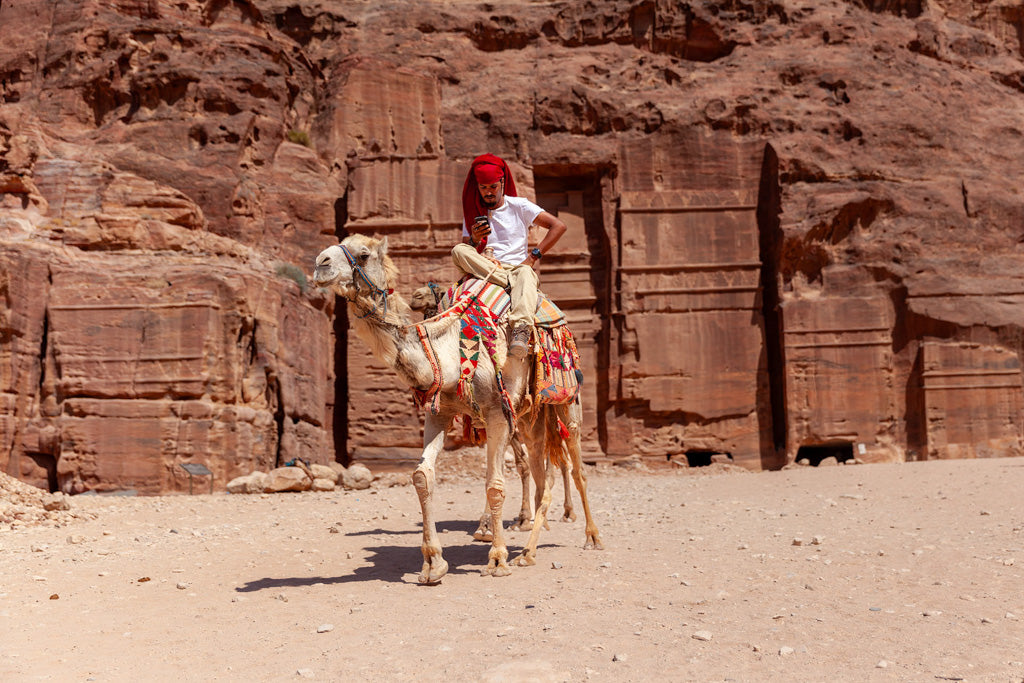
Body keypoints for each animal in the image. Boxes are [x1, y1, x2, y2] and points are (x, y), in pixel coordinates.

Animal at [411, 280, 581, 536]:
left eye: (437, 291)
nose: (415, 296)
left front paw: (492, 525)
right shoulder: (499, 418)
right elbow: (513, 465)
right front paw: (500, 522)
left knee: (559, 458)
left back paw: (567, 513)